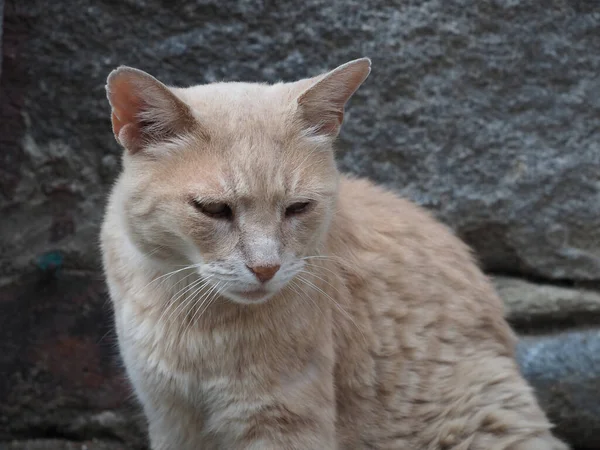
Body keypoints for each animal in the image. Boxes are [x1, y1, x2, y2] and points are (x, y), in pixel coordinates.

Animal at [102, 58, 568, 448]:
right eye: (214, 209)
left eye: (297, 208)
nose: (265, 268)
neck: (192, 318)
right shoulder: (171, 418)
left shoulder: (283, 421)